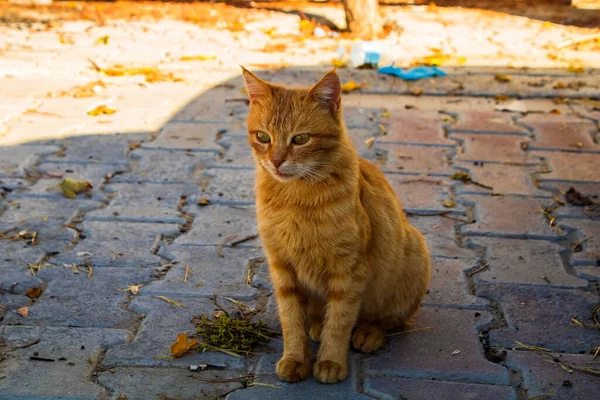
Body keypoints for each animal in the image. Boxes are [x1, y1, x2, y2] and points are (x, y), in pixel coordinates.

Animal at [240, 68, 432, 384]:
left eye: (301, 139)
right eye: (263, 137)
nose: (276, 161)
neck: (294, 199)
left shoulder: (349, 271)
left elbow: (340, 321)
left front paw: (330, 361)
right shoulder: (282, 268)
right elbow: (291, 320)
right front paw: (295, 358)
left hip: (412, 257)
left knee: (389, 319)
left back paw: (369, 332)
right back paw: (318, 326)